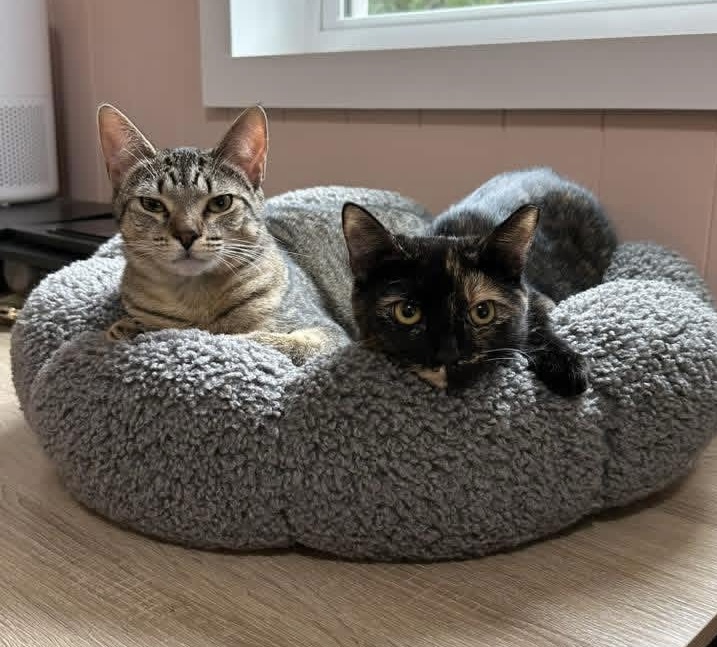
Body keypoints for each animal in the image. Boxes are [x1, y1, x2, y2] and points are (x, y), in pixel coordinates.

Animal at [97, 103, 346, 364]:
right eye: (151, 204)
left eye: (221, 203)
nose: (187, 234)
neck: (195, 298)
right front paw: (131, 327)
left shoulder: (326, 331)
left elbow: (256, 341)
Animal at [342, 168, 618, 395]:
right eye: (407, 312)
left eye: (483, 312)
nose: (448, 354)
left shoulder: (538, 297)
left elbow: (535, 321)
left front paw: (566, 365)